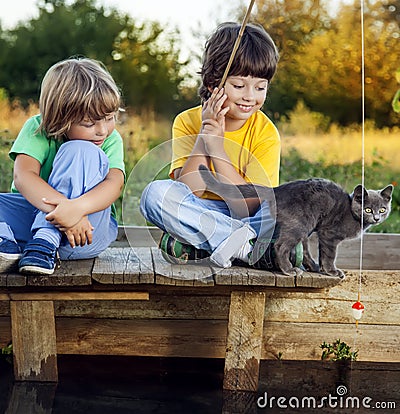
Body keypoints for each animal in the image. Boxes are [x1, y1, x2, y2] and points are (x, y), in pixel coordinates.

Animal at [198, 165, 392, 278]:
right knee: (280, 246)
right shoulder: (329, 234)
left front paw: (323, 269)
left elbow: (318, 252)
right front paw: (332, 271)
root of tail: (277, 189)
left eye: (383, 209)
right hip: (300, 224)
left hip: (304, 226)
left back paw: (311, 267)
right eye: (368, 209)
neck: (351, 212)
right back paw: (289, 269)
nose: (376, 217)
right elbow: (329, 254)